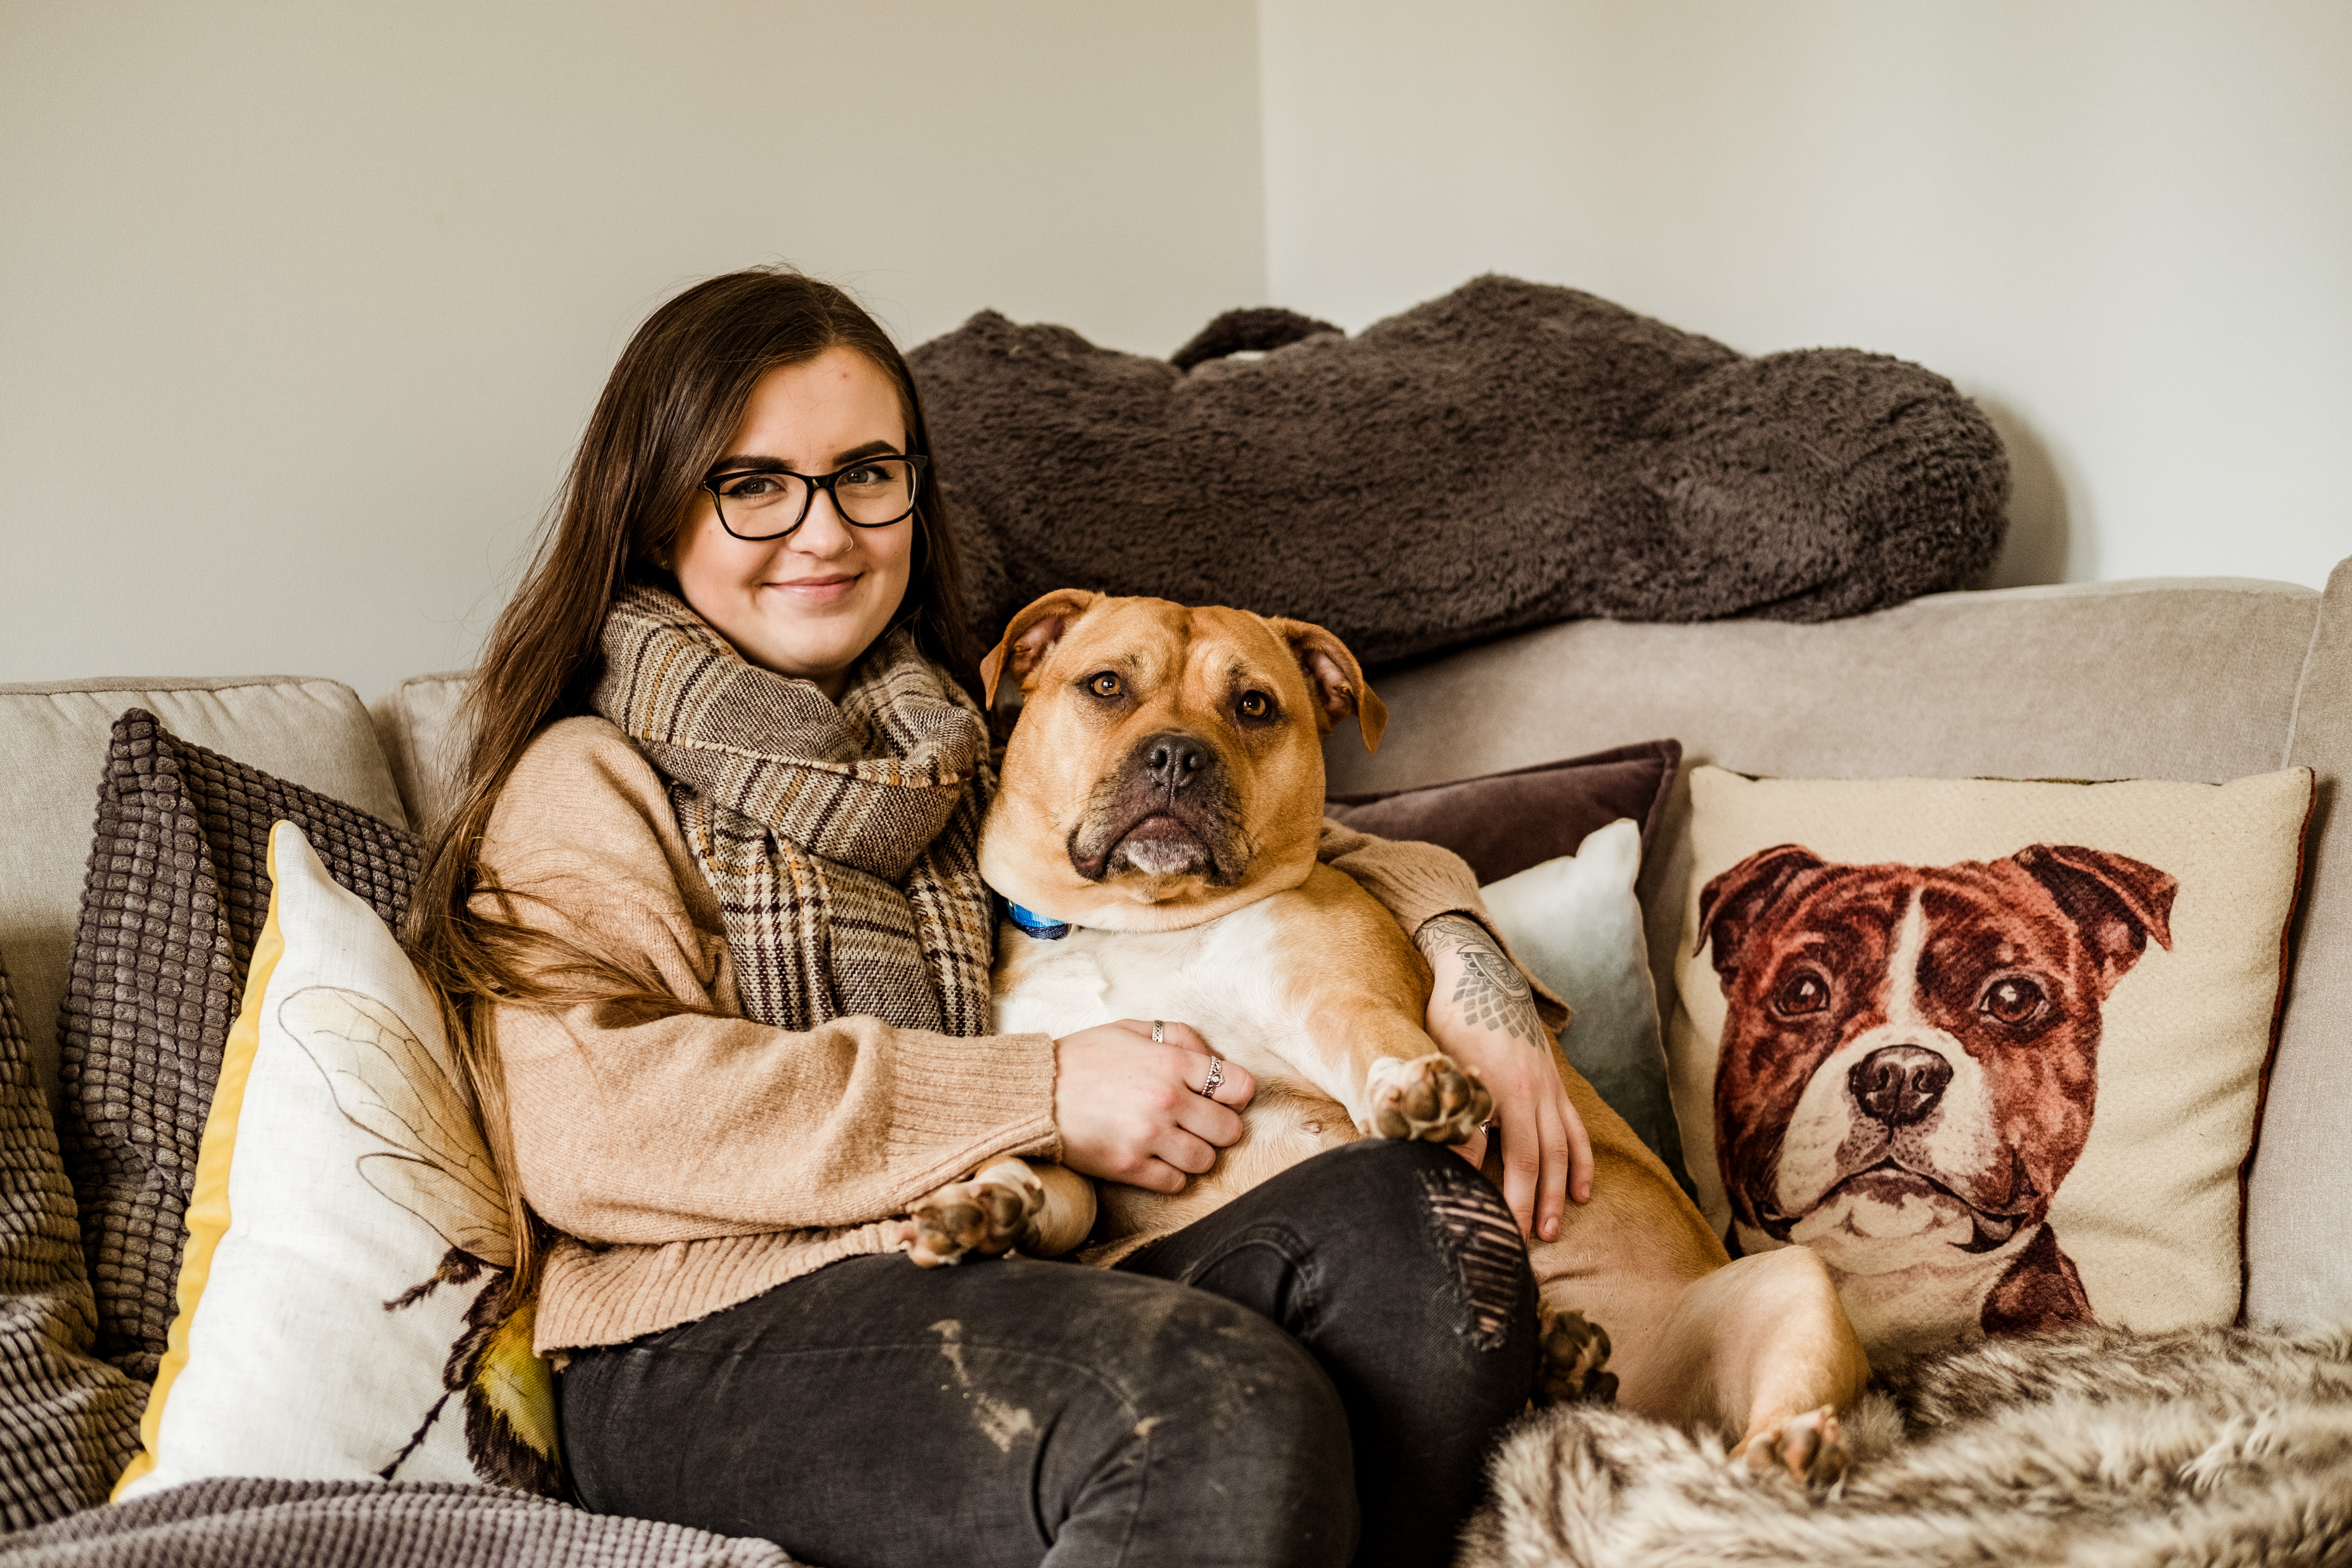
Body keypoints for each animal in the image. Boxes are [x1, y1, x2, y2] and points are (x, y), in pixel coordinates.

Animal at [898, 592, 1872, 1486]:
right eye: (1106, 685)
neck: (1140, 923)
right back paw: (1566, 1361)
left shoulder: (1334, 990)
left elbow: (1366, 1035)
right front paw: (987, 1205)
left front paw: (1417, 1090)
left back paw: (1783, 1448)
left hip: (1788, 1286)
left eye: (1253, 705)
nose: (1177, 752)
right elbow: (1049, 1184)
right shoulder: (1081, 1120)